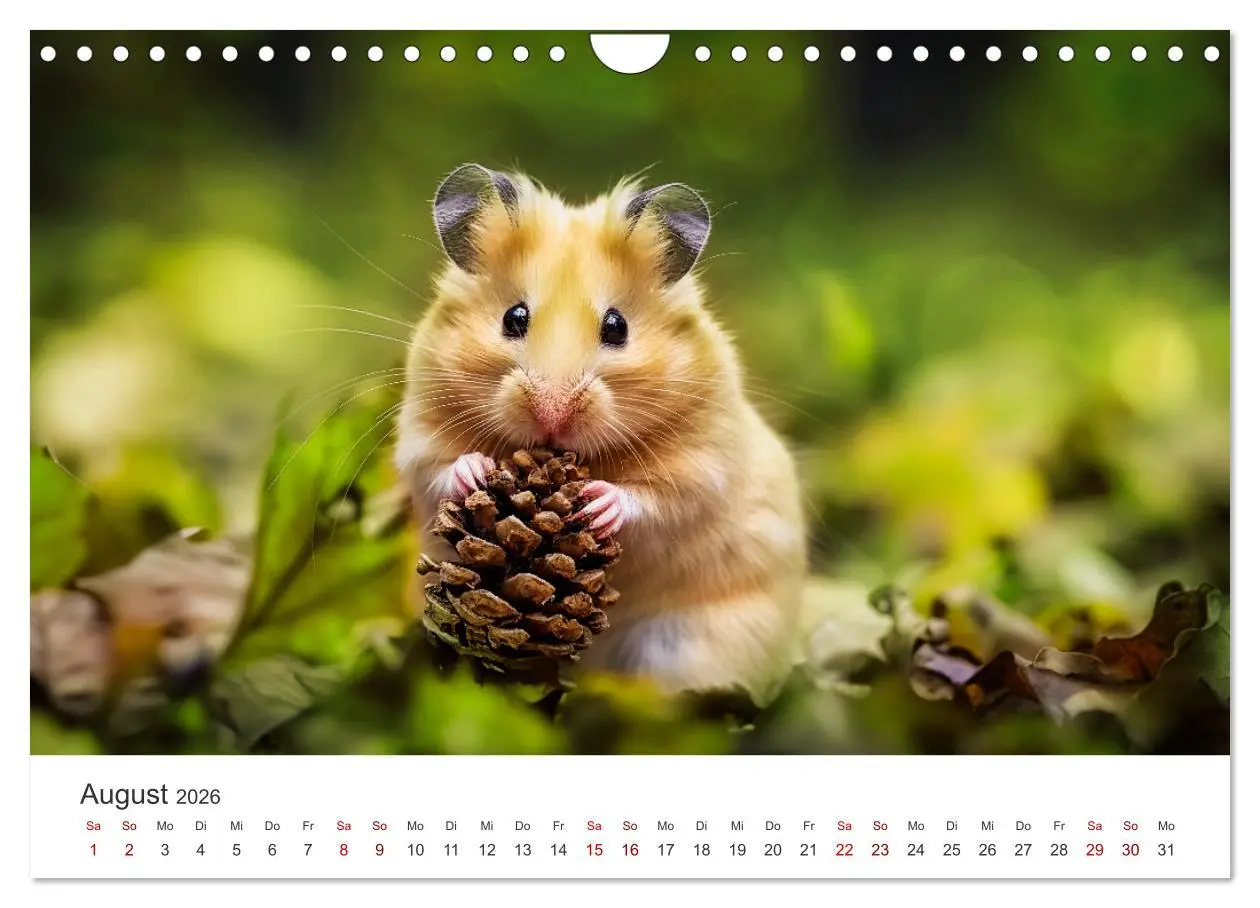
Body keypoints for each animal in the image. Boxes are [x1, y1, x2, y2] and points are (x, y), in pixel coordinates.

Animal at [394, 164, 807, 700]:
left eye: (616, 326)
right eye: (514, 317)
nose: (551, 415)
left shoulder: (704, 464)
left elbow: (660, 501)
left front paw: (597, 503)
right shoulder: (418, 433)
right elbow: (439, 467)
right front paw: (477, 469)